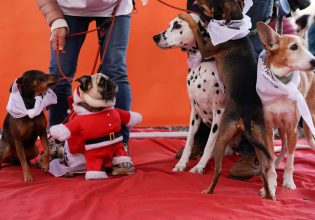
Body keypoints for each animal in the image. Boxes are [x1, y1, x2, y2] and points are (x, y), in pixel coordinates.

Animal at [180, 0, 274, 199]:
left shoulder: (207, 48)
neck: (233, 25)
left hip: (222, 134)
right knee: (264, 170)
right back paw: (269, 195)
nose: (197, 2)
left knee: (218, 169)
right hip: (260, 138)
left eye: (210, 2)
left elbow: (196, 28)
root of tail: (246, 114)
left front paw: (186, 17)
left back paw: (208, 190)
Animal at [256, 21, 315, 199]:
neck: (281, 84)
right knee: (282, 147)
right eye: (293, 47)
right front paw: (270, 184)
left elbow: (291, 160)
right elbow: (270, 160)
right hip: (281, 128)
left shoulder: (293, 129)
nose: (314, 61)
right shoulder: (268, 129)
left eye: (306, 47)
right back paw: (276, 163)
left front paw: (288, 181)